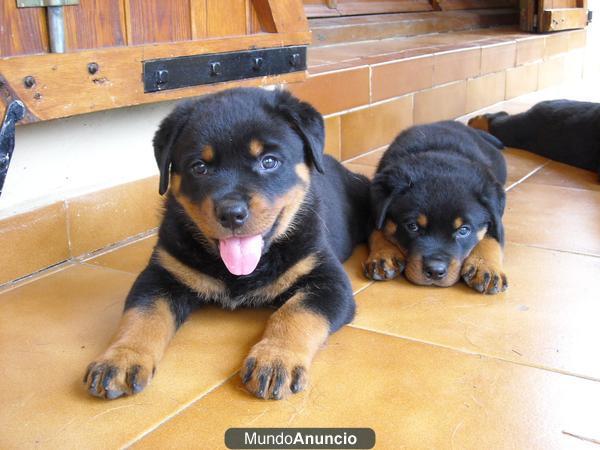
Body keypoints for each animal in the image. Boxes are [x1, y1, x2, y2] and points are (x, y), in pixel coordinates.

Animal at [82, 87, 368, 400]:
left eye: (269, 161)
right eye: (199, 167)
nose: (232, 213)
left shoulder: (327, 278)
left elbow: (296, 312)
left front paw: (276, 359)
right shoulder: (162, 273)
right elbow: (143, 315)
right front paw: (121, 357)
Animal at [364, 119, 508, 296]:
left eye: (464, 230)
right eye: (412, 226)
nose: (435, 271)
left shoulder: (496, 219)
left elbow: (492, 238)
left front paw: (486, 267)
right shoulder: (373, 209)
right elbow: (376, 230)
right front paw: (383, 254)